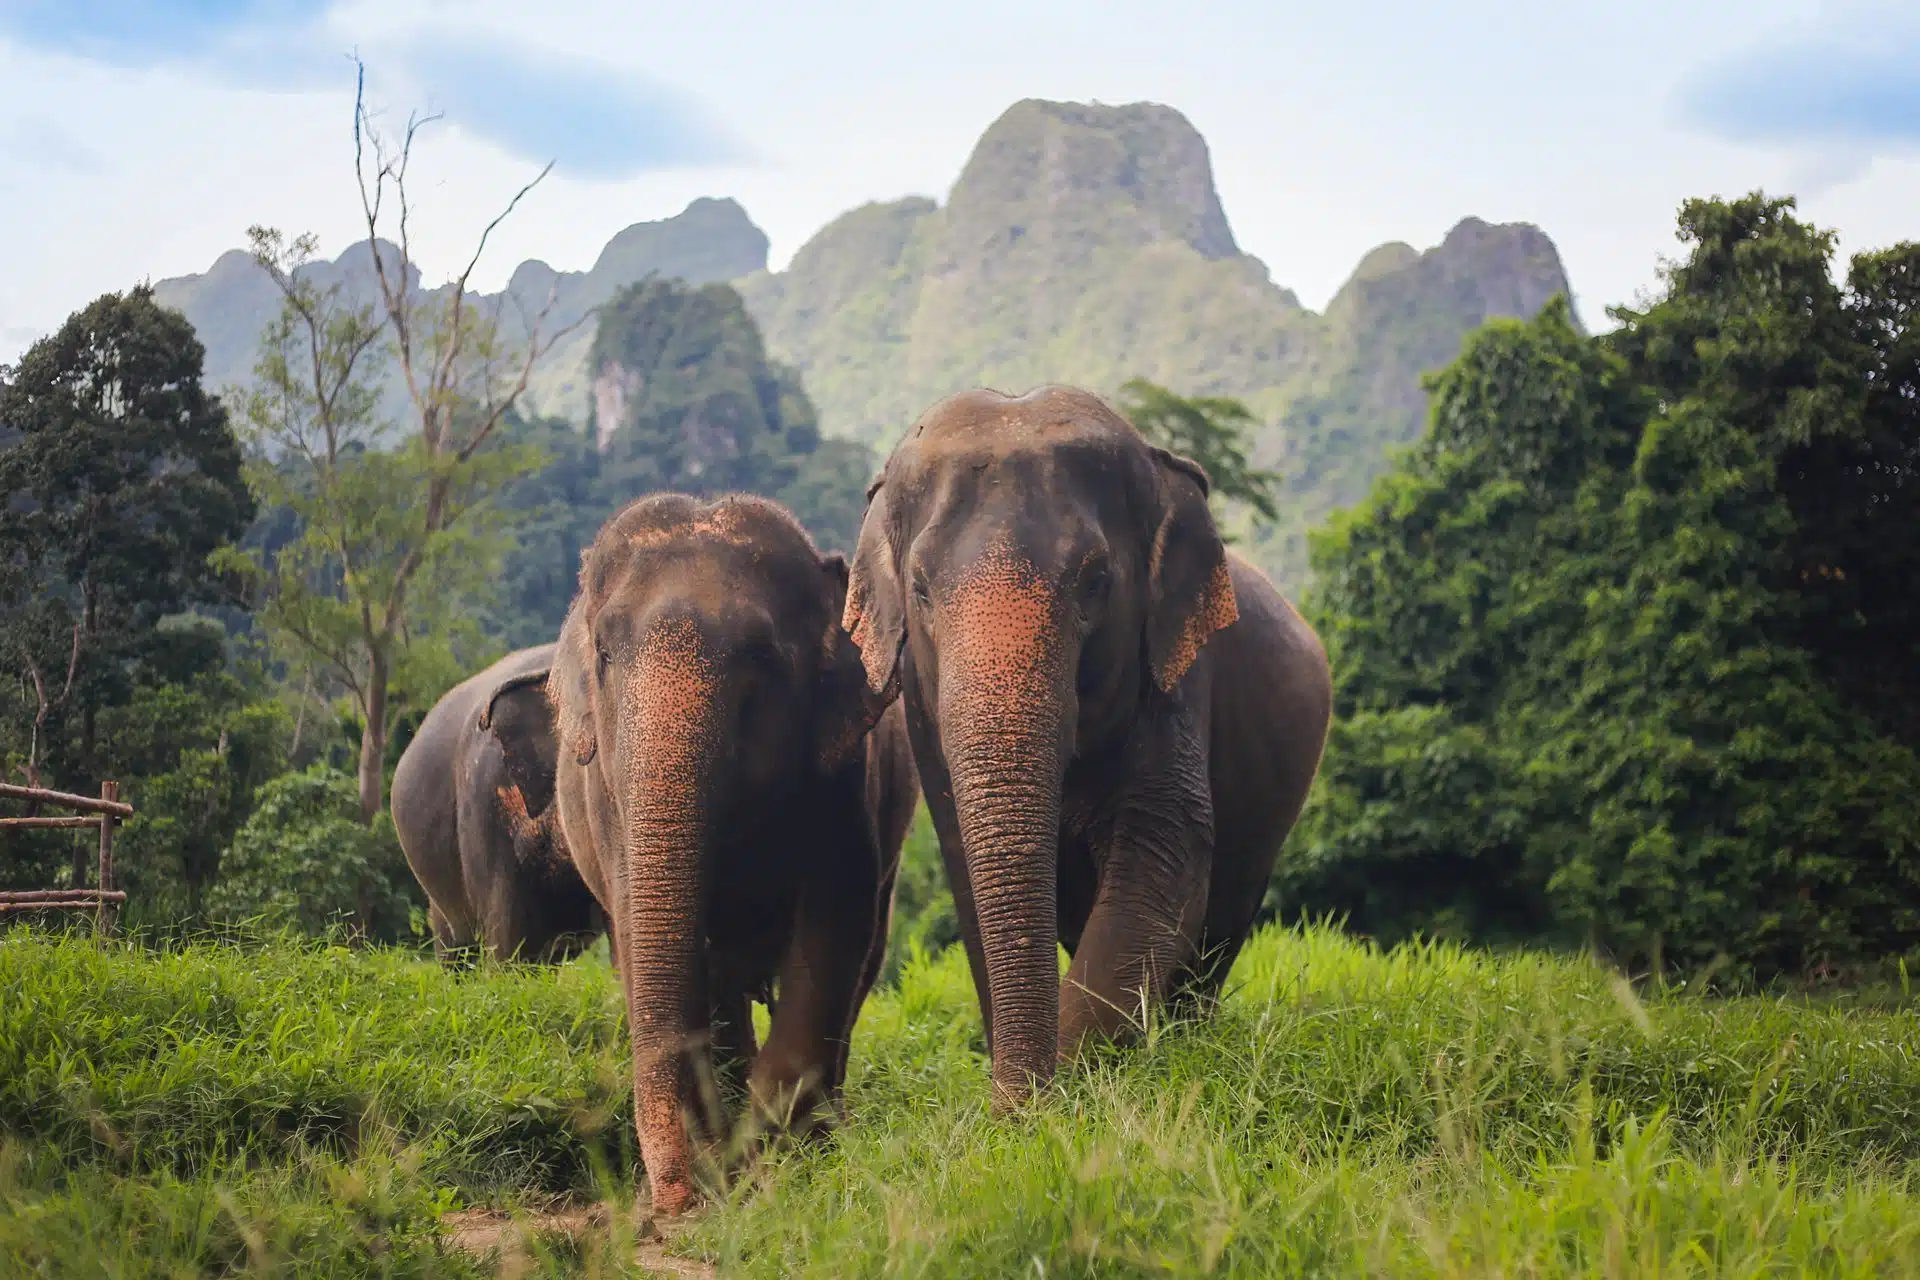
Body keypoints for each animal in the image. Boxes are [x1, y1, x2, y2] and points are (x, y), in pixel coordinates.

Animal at [546, 492, 919, 1218]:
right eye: (604, 652)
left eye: (760, 654)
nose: (670, 1205)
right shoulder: (608, 803)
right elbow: (646, 941)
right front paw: (729, 1165)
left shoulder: (841, 779)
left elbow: (831, 934)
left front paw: (770, 1164)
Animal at [842, 384, 1332, 1110]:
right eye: (921, 587)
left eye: (1096, 579)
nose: (1014, 1111)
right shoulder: (923, 716)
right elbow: (968, 876)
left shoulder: (1176, 674)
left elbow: (1165, 857)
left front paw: (1066, 1092)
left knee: (1220, 928)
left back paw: (1184, 1044)